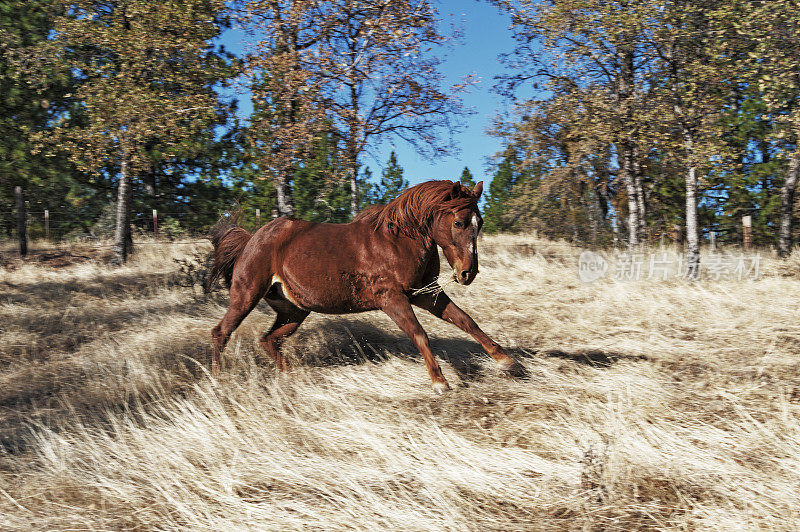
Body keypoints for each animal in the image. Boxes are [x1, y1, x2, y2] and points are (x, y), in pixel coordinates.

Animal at [208, 179, 520, 390]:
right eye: (458, 222)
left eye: (480, 222)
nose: (468, 273)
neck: (399, 240)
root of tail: (252, 239)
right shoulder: (392, 298)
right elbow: (419, 335)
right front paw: (439, 382)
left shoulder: (426, 293)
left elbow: (467, 321)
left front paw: (508, 362)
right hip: (247, 294)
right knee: (221, 332)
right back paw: (217, 380)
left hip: (294, 310)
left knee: (269, 340)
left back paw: (293, 378)